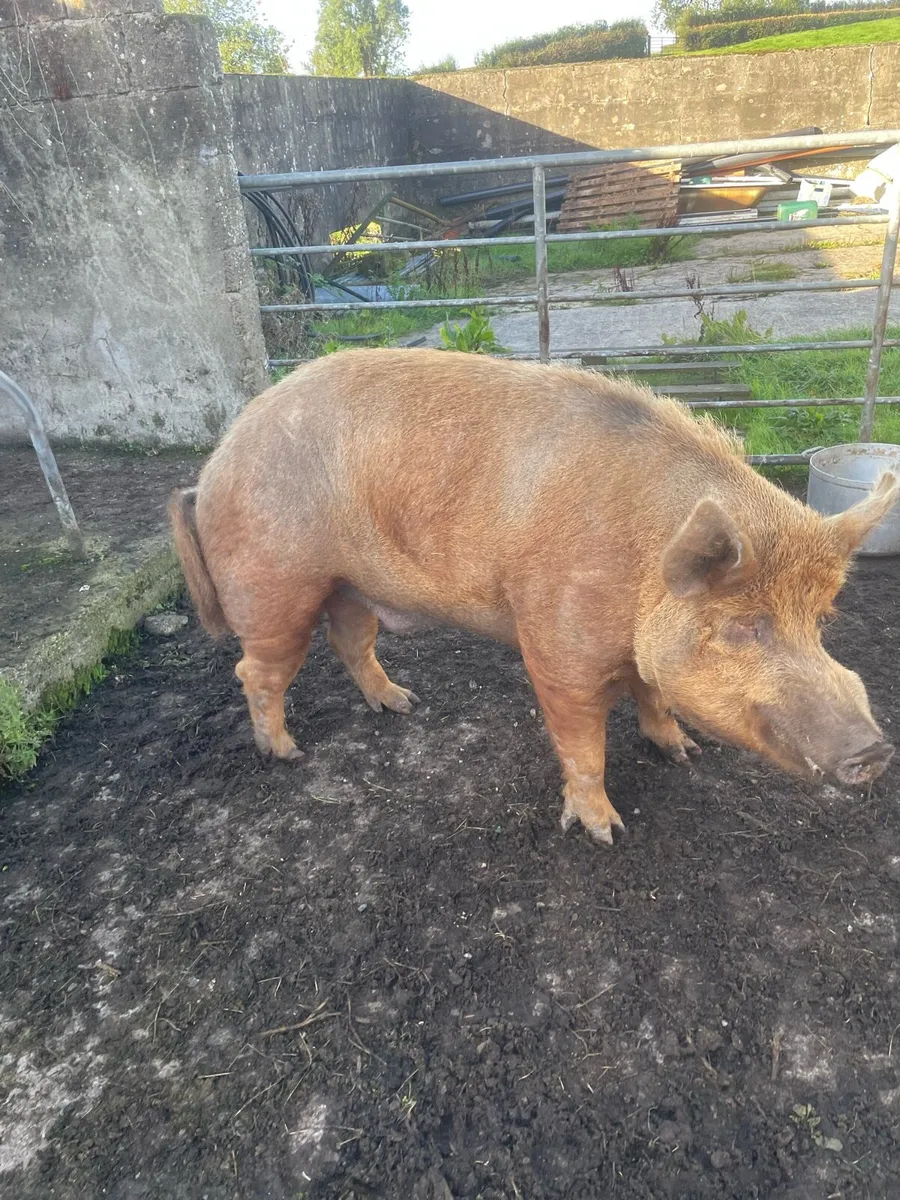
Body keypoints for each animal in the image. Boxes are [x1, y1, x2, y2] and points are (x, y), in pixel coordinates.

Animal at [169, 348, 897, 845]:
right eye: (746, 624)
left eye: (821, 619)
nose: (874, 751)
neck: (643, 567)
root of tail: (213, 466)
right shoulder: (557, 646)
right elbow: (583, 744)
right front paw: (606, 832)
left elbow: (654, 693)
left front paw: (683, 752)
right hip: (275, 583)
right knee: (256, 669)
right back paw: (286, 753)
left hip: (350, 583)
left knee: (349, 639)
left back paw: (403, 704)